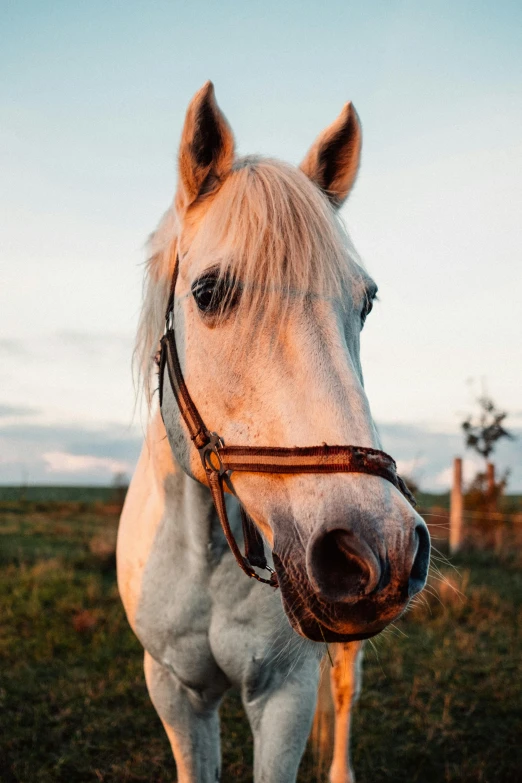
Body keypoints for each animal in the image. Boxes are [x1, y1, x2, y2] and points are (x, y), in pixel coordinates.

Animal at [117, 81, 426, 783]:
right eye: (208, 292)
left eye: (366, 302)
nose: (377, 551)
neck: (207, 554)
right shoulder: (175, 691)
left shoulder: (286, 694)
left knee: (345, 693)